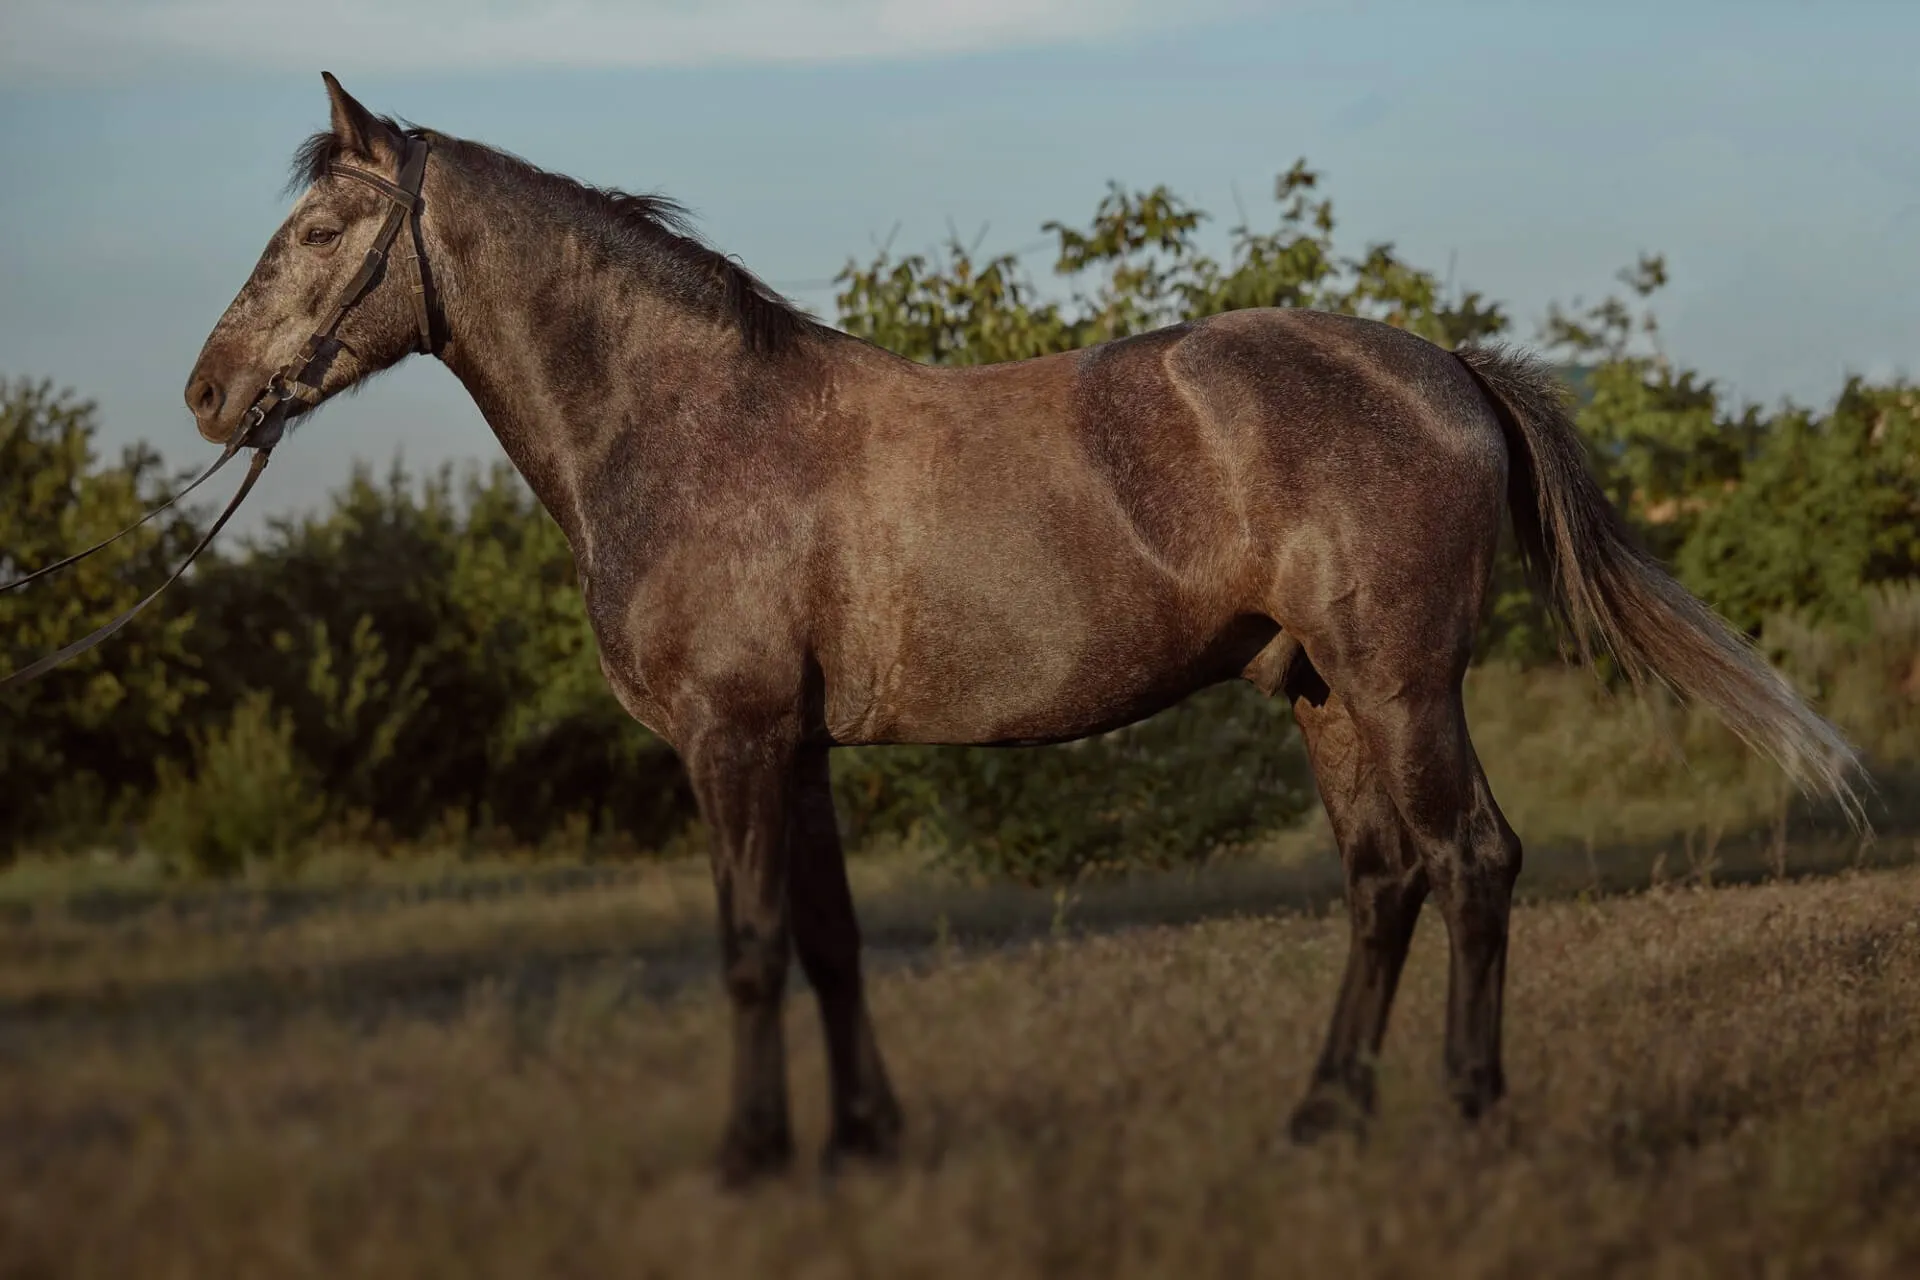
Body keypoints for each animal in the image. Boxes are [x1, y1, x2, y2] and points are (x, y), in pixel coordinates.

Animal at [183, 73, 1862, 1186]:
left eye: (323, 228)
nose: (209, 392)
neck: (688, 424)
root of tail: (1442, 365)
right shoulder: (797, 749)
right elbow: (831, 944)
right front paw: (864, 1145)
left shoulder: (734, 742)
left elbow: (749, 948)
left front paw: (746, 1158)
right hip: (1326, 695)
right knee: (1384, 881)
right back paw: (1321, 1117)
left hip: (1403, 688)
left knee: (1474, 864)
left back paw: (1466, 1122)